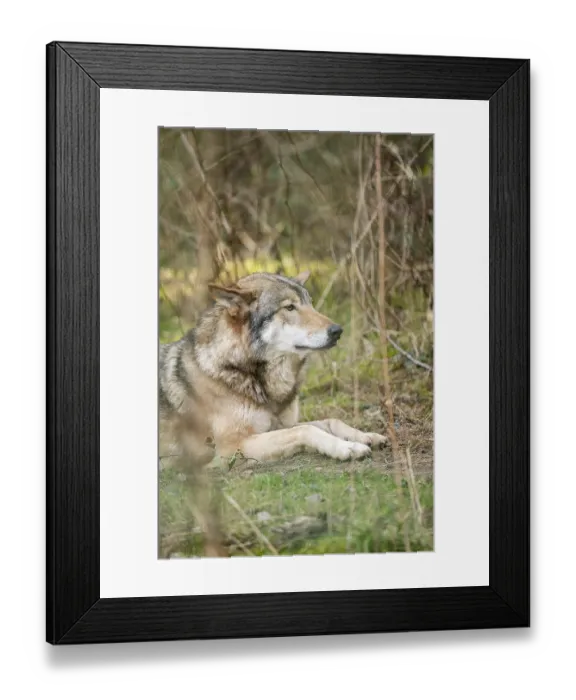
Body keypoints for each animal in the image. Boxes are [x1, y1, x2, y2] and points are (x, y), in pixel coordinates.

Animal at [159, 271, 387, 555]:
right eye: (289, 308)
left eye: (310, 303)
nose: (337, 330)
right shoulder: (232, 448)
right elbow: (307, 429)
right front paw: (347, 448)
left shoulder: (279, 424)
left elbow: (330, 421)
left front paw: (365, 436)